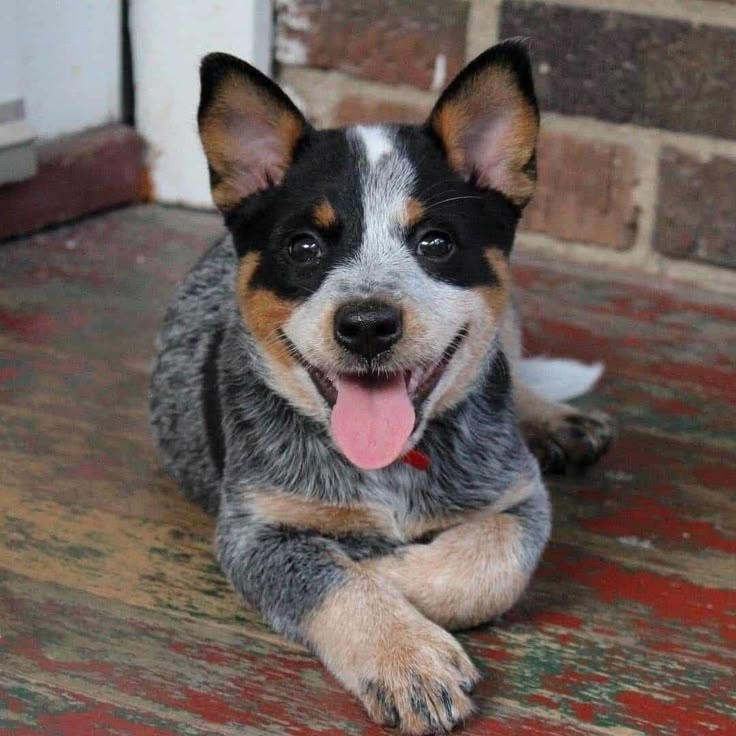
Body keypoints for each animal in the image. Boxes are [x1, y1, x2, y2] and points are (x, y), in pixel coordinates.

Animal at [148, 41, 608, 736]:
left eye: (436, 242)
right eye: (303, 246)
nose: (367, 324)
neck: (389, 468)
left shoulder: (521, 497)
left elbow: (490, 562)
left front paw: (391, 571)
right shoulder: (254, 530)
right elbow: (334, 580)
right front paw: (405, 655)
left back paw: (559, 419)